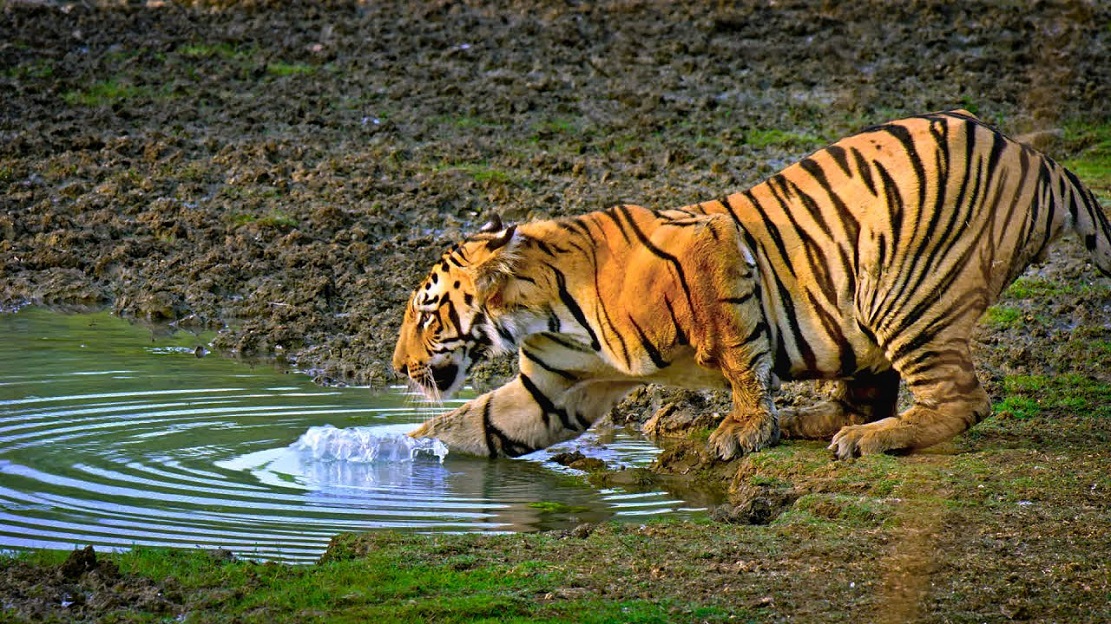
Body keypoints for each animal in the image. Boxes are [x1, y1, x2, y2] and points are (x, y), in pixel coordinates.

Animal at [391, 109, 1111, 459]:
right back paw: (809, 423)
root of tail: (1039, 158)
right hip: (865, 320)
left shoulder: (711, 248)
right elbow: (474, 424)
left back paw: (871, 441)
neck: (541, 314)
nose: (397, 367)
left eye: (427, 315)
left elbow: (739, 354)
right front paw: (394, 454)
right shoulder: (554, 389)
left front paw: (742, 429)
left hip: (902, 293)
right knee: (866, 394)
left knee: (961, 398)